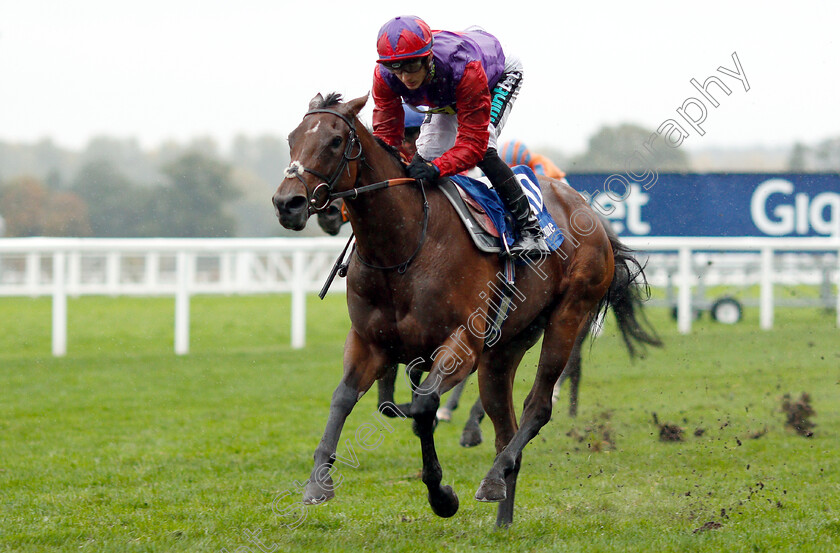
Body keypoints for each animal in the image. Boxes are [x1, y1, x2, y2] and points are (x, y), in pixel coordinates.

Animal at [276, 91, 656, 528]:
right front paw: (317, 483)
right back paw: (503, 515)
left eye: (336, 141)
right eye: (292, 137)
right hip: (506, 347)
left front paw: (441, 495)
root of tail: (590, 213)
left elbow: (424, 405)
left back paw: (493, 478)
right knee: (505, 425)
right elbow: (344, 398)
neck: (404, 246)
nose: (287, 203)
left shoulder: (461, 343)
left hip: (568, 316)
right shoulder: (369, 342)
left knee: (538, 406)